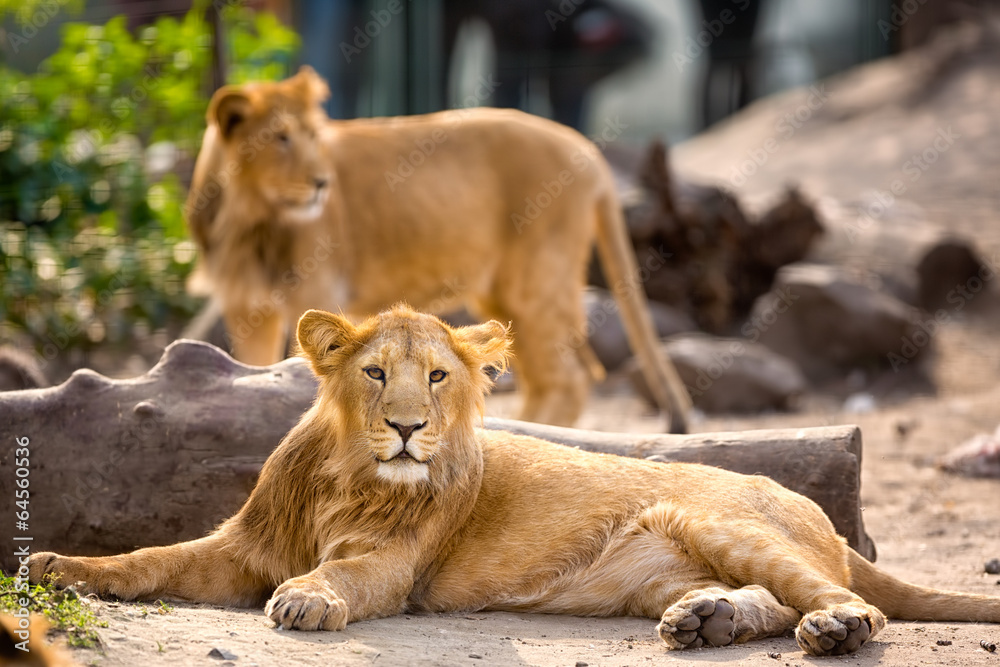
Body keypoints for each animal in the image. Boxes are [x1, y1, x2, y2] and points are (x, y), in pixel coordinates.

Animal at [29, 305, 1000, 657]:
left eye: (438, 377)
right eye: (375, 374)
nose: (409, 428)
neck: (347, 473)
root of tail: (823, 513)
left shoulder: (390, 566)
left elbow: (341, 572)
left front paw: (307, 597)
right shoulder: (240, 545)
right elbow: (149, 556)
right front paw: (56, 567)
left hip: (722, 520)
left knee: (841, 597)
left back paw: (832, 628)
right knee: (768, 596)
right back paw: (706, 620)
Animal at [184, 66, 691, 431]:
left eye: (313, 137)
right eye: (281, 138)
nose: (324, 183)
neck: (250, 218)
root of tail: (589, 150)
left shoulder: (317, 290)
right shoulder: (247, 307)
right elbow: (252, 374)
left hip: (536, 282)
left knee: (569, 380)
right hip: (504, 297)